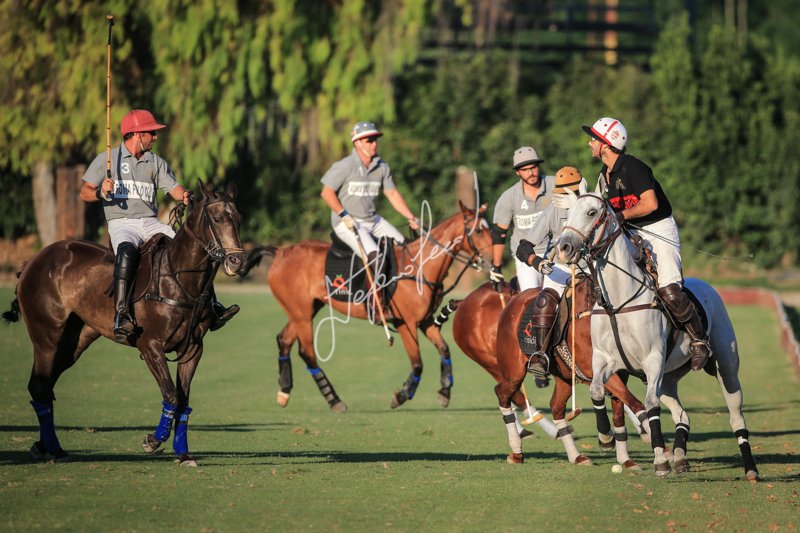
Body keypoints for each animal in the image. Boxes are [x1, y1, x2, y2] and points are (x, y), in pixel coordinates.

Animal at [2, 181, 244, 466]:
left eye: (238, 219)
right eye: (217, 219)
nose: (237, 261)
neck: (178, 281)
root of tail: (32, 262)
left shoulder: (193, 349)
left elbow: (184, 401)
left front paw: (184, 454)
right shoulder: (150, 346)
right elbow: (171, 395)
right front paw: (152, 441)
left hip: (74, 340)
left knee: (43, 385)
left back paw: (45, 447)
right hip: (47, 336)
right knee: (40, 385)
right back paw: (52, 448)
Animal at [238, 202, 492, 411]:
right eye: (479, 230)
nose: (492, 260)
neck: (421, 266)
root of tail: (280, 252)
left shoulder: (426, 321)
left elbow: (444, 349)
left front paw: (445, 392)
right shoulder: (405, 323)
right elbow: (418, 363)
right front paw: (401, 395)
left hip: (305, 309)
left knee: (284, 340)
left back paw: (284, 393)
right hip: (301, 313)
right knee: (307, 352)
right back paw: (334, 400)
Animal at [443, 280, 648, 468]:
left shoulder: (621, 371)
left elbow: (621, 408)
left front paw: (625, 457)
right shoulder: (596, 368)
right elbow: (633, 402)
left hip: (563, 376)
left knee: (555, 406)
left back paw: (575, 455)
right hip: (507, 368)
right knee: (505, 394)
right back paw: (518, 450)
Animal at [554, 193, 759, 480]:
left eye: (592, 212)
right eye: (569, 212)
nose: (563, 248)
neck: (618, 303)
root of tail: (708, 286)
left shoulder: (652, 360)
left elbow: (650, 406)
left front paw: (660, 460)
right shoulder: (605, 360)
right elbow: (596, 389)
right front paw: (605, 437)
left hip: (726, 368)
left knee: (735, 415)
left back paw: (750, 469)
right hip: (669, 377)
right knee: (682, 414)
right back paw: (681, 458)